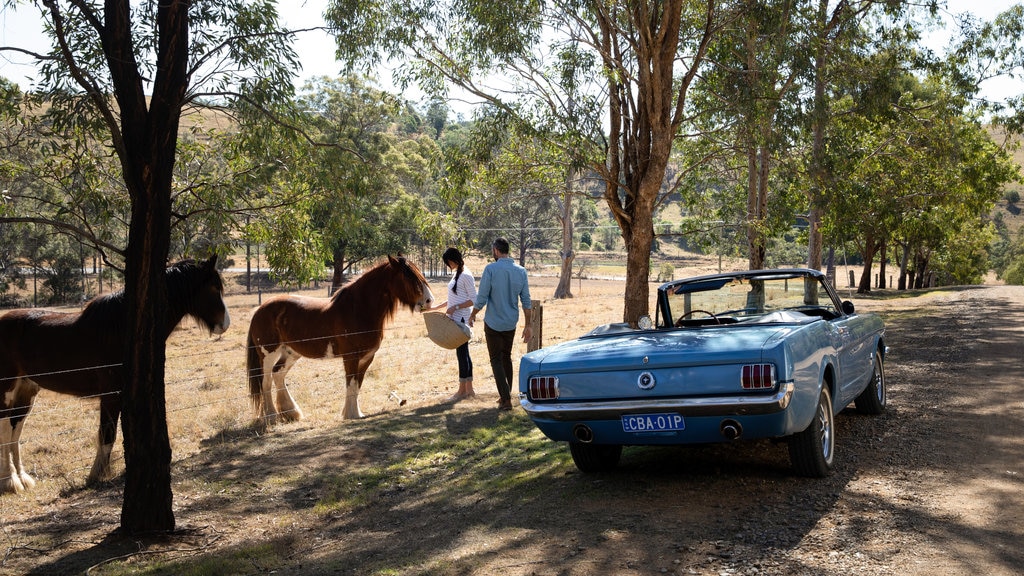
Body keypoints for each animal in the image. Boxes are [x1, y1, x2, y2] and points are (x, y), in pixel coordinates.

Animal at [0, 255, 228, 494]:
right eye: (214, 287)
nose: (224, 324)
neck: (123, 330)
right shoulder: (111, 395)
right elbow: (107, 434)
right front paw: (96, 475)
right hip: (6, 388)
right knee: (5, 429)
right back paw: (10, 481)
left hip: (26, 390)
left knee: (16, 429)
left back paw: (23, 478)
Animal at [249, 254, 434, 422]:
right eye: (408, 276)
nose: (429, 300)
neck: (358, 310)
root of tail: (260, 309)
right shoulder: (350, 357)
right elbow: (350, 384)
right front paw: (351, 415)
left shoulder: (367, 358)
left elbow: (357, 385)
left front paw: (355, 413)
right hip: (268, 354)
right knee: (265, 382)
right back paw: (271, 417)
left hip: (291, 352)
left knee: (278, 375)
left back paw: (291, 413)